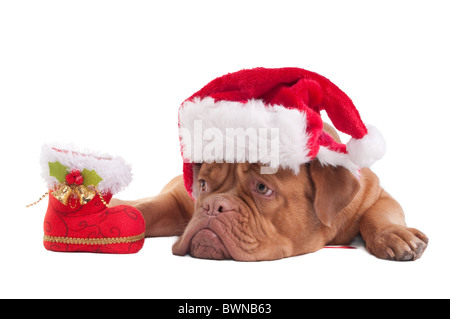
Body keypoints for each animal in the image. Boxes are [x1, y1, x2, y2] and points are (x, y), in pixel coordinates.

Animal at [112, 124, 428, 262]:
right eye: (203, 185)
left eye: (262, 188)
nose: (212, 206)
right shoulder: (179, 199)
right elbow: (148, 208)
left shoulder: (376, 194)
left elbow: (377, 214)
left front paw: (394, 235)